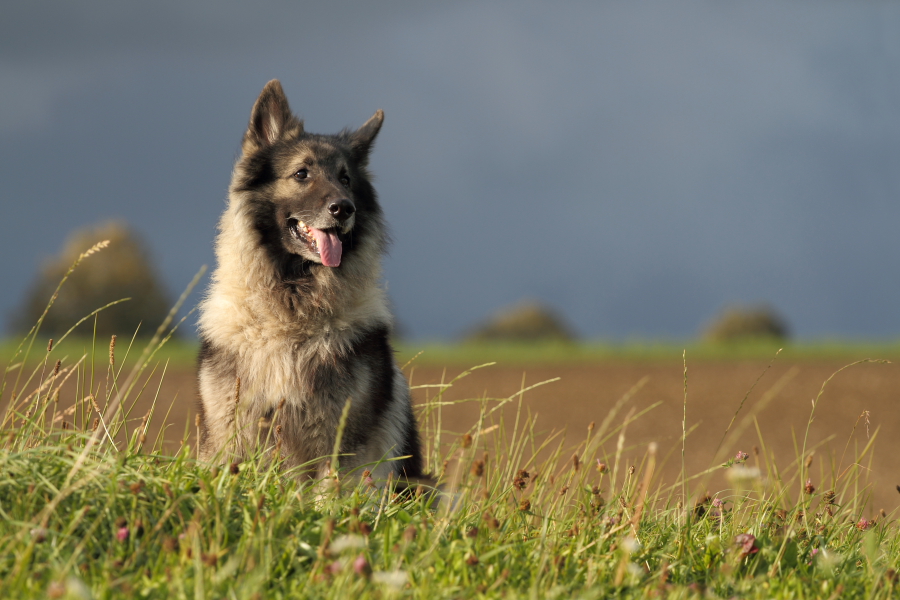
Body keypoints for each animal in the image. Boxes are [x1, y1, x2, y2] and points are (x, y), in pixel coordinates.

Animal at [196, 79, 426, 486]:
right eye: (302, 174)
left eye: (346, 178)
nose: (344, 208)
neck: (291, 316)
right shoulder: (229, 437)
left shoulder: (340, 450)